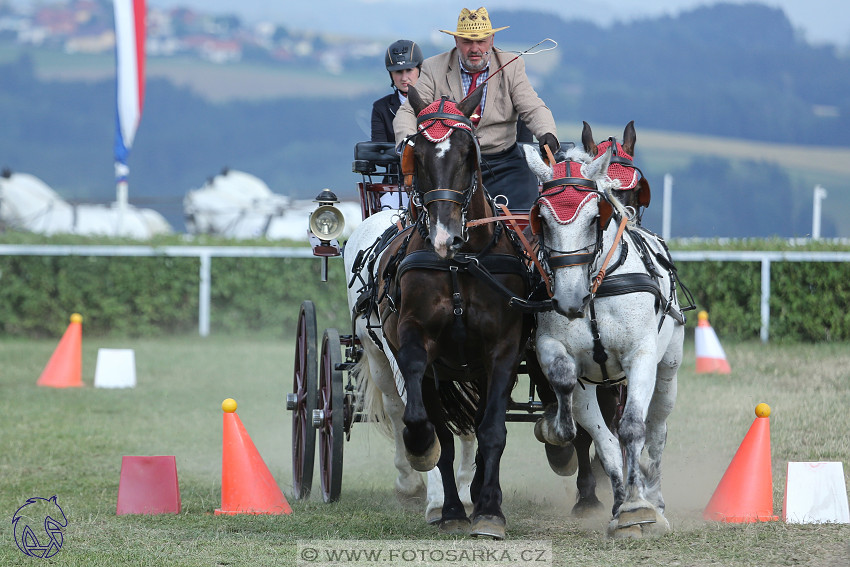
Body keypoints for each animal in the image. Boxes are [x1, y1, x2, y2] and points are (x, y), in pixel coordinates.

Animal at [344, 209, 476, 524]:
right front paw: (440, 501)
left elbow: (469, 417)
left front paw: (465, 492)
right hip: (377, 358)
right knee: (394, 409)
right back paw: (409, 482)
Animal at [374, 86, 528, 540]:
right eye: (417, 155)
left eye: (466, 153)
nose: (446, 238)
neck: (460, 265)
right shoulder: (416, 342)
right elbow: (431, 428)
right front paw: (426, 458)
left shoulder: (503, 349)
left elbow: (492, 430)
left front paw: (490, 511)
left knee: (481, 422)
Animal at [528, 145, 684, 536]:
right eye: (542, 219)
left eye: (592, 217)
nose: (570, 299)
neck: (596, 289)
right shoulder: (553, 350)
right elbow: (588, 422)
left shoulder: (640, 355)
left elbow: (632, 429)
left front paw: (639, 506)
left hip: (668, 368)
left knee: (656, 429)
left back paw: (653, 495)